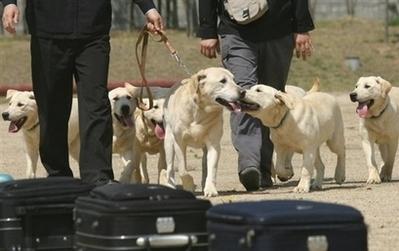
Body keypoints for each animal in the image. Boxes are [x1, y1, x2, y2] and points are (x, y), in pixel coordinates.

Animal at [161, 67, 245, 197]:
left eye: (234, 80)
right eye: (223, 81)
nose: (243, 92)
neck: (201, 109)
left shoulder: (214, 144)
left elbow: (212, 168)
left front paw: (210, 189)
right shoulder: (179, 142)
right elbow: (182, 169)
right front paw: (189, 185)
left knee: (205, 165)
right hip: (169, 141)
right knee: (170, 167)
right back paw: (170, 185)